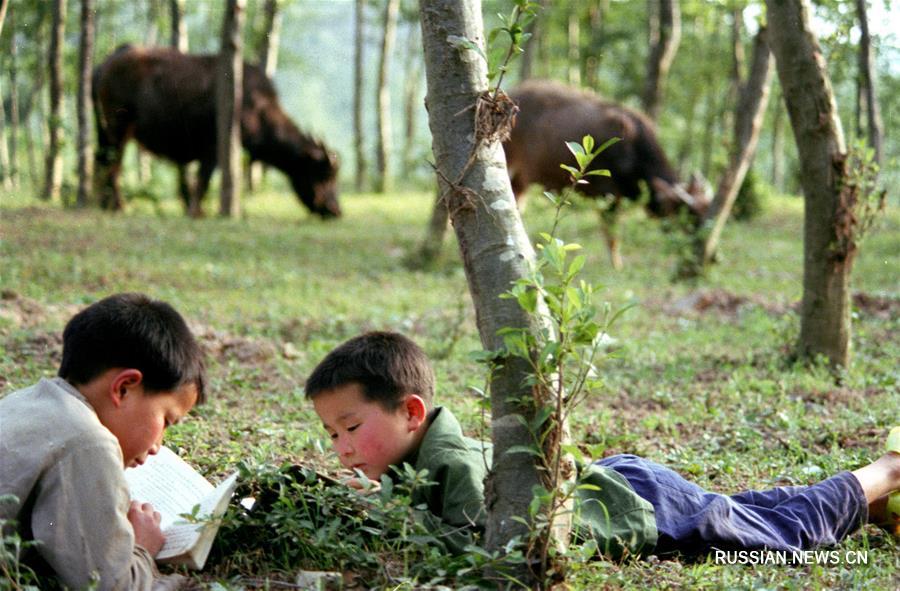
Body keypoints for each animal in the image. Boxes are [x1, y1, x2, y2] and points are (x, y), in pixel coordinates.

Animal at [93, 45, 342, 219]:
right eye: (323, 174)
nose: (335, 210)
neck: (255, 105)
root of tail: (107, 61)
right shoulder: (213, 149)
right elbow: (202, 180)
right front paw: (195, 211)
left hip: (107, 133)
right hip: (119, 130)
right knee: (112, 165)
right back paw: (118, 206)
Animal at [502, 80, 708, 268]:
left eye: (705, 209)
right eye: (689, 216)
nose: (709, 255)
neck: (633, 147)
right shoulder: (607, 195)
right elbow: (612, 235)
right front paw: (616, 265)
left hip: (520, 181)